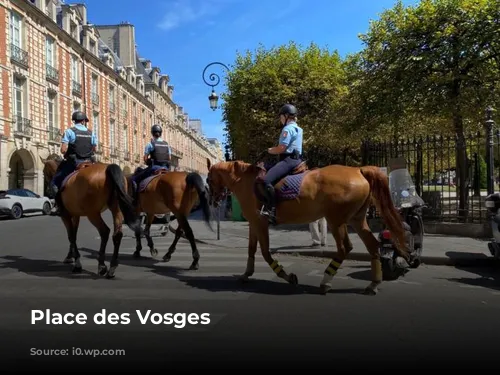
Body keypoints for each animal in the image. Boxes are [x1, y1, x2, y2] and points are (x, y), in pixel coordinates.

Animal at [205, 157, 408, 296]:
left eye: (208, 180)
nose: (212, 200)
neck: (246, 181)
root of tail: (358, 170)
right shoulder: (254, 224)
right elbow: (251, 250)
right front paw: (246, 274)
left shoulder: (260, 223)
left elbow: (265, 253)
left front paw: (287, 276)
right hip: (356, 219)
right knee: (372, 246)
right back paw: (373, 284)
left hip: (336, 220)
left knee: (345, 248)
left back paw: (325, 282)